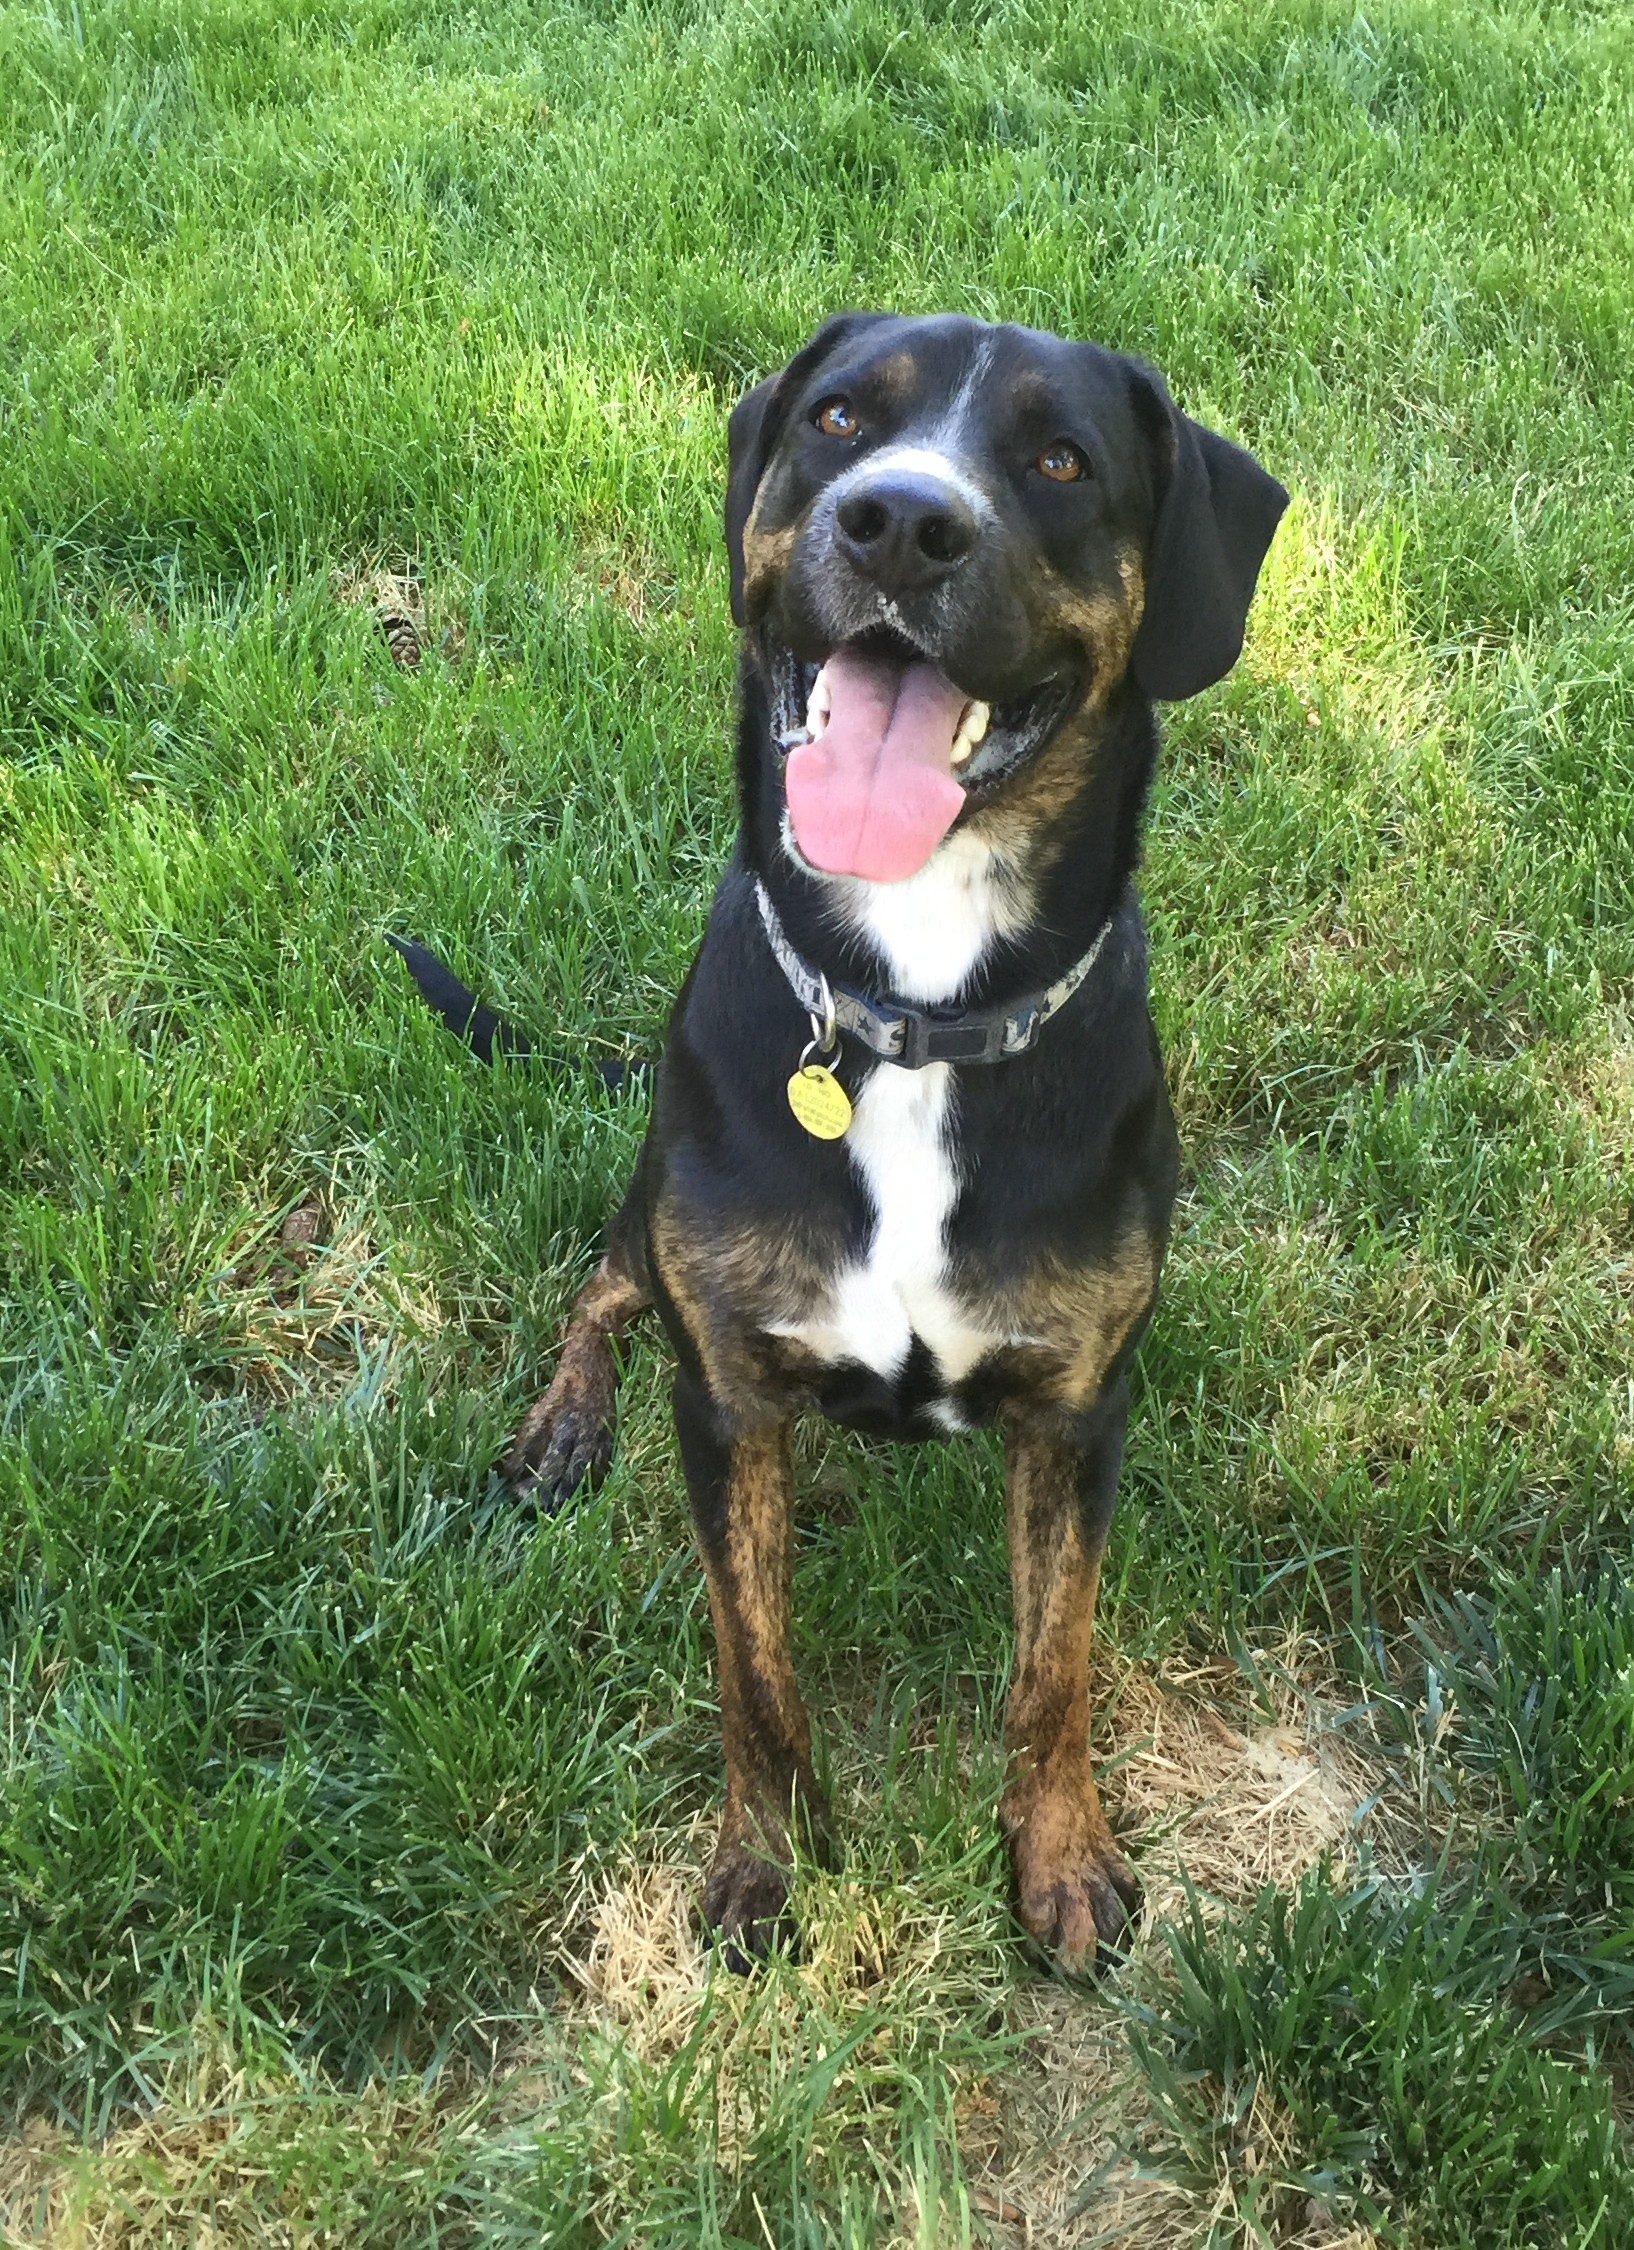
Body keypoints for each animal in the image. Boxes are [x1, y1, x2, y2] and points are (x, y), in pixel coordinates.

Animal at [506, 317, 1287, 1971]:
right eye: (839, 417)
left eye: (1060, 458)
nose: (900, 522)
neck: (917, 1009)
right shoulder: (726, 1399)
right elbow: (752, 1666)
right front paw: (764, 1863)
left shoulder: (1075, 1413)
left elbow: (1053, 1665)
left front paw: (1061, 1858)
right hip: (649, 1202)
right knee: (598, 1289)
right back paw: (558, 1429)